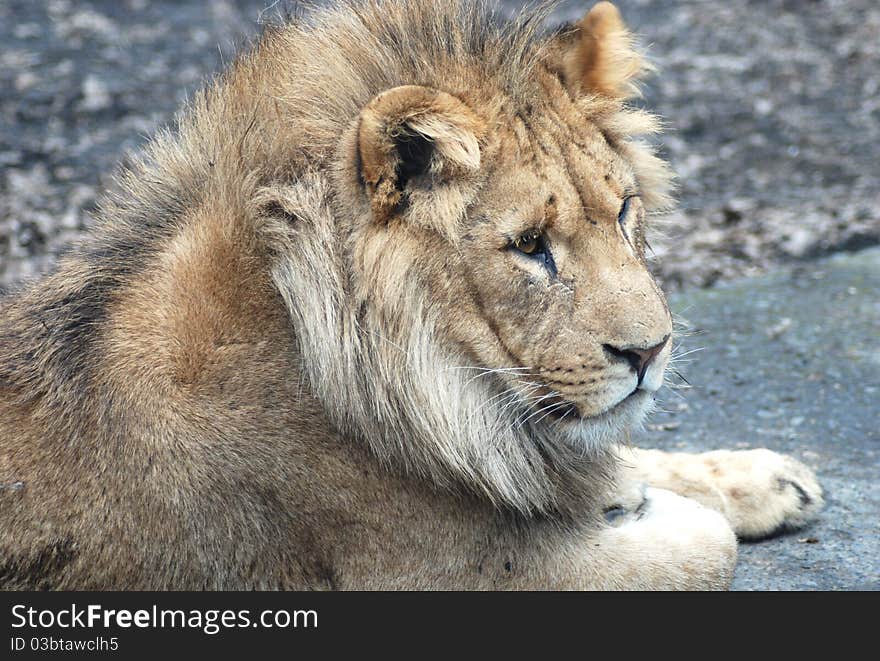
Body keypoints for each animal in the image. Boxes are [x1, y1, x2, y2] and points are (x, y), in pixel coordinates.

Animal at [1, 0, 824, 588]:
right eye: (530, 246)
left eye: (623, 211)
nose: (651, 351)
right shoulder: (441, 572)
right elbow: (700, 547)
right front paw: (635, 504)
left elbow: (628, 457)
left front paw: (758, 476)